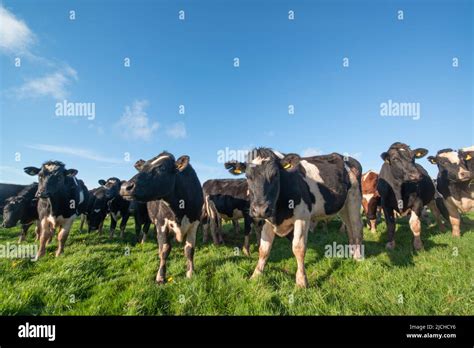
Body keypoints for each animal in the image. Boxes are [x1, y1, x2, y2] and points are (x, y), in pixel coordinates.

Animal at [119, 152, 203, 282]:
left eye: (162, 168)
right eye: (142, 168)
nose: (125, 187)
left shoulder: (194, 224)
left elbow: (189, 250)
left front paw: (190, 272)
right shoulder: (161, 224)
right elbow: (165, 249)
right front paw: (160, 276)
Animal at [226, 147, 362, 288]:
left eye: (275, 175)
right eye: (247, 176)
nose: (260, 210)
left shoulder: (302, 216)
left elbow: (298, 248)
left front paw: (301, 281)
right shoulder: (267, 221)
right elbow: (264, 249)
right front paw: (256, 275)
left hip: (354, 199)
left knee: (357, 228)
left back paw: (358, 257)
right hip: (343, 207)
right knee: (349, 228)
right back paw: (352, 253)